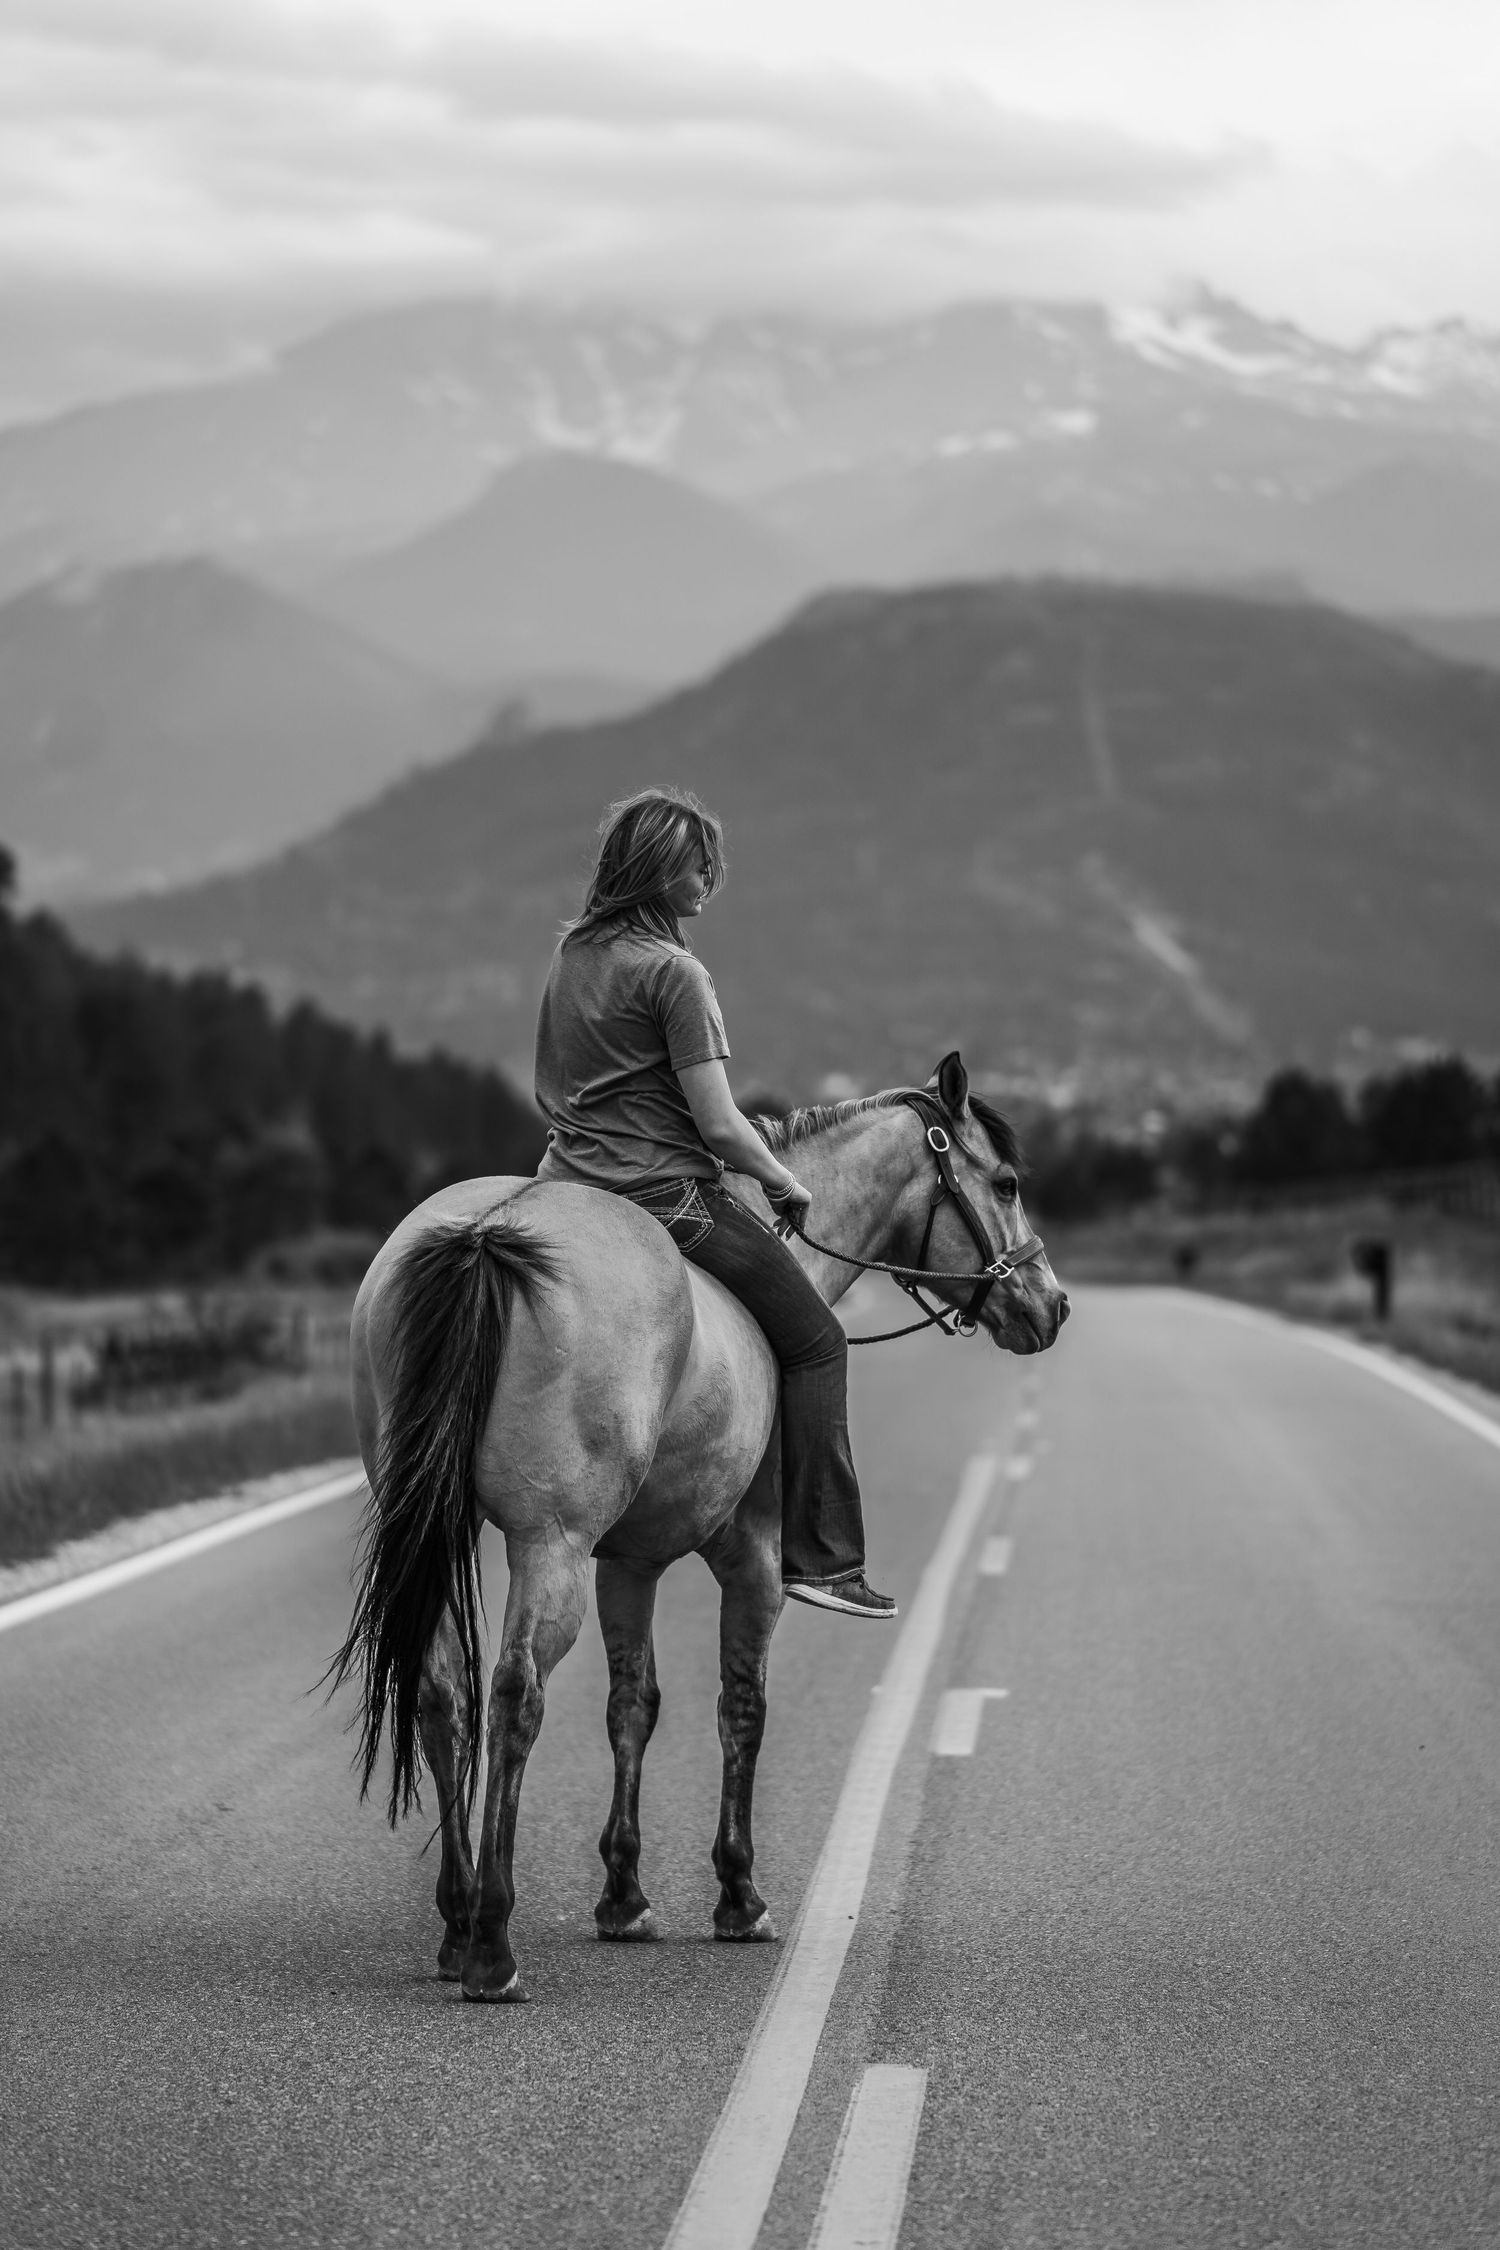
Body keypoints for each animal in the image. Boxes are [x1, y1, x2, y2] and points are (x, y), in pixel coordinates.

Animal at [332, 1051, 1069, 2002]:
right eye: (1006, 1181)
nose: (1051, 1305)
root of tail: (488, 1232)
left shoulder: (629, 1562)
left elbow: (632, 1707)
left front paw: (624, 1894)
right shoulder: (750, 1558)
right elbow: (742, 1704)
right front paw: (739, 1894)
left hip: (449, 1530)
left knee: (440, 1693)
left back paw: (459, 1924)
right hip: (550, 1542)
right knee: (516, 1693)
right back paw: (493, 1944)